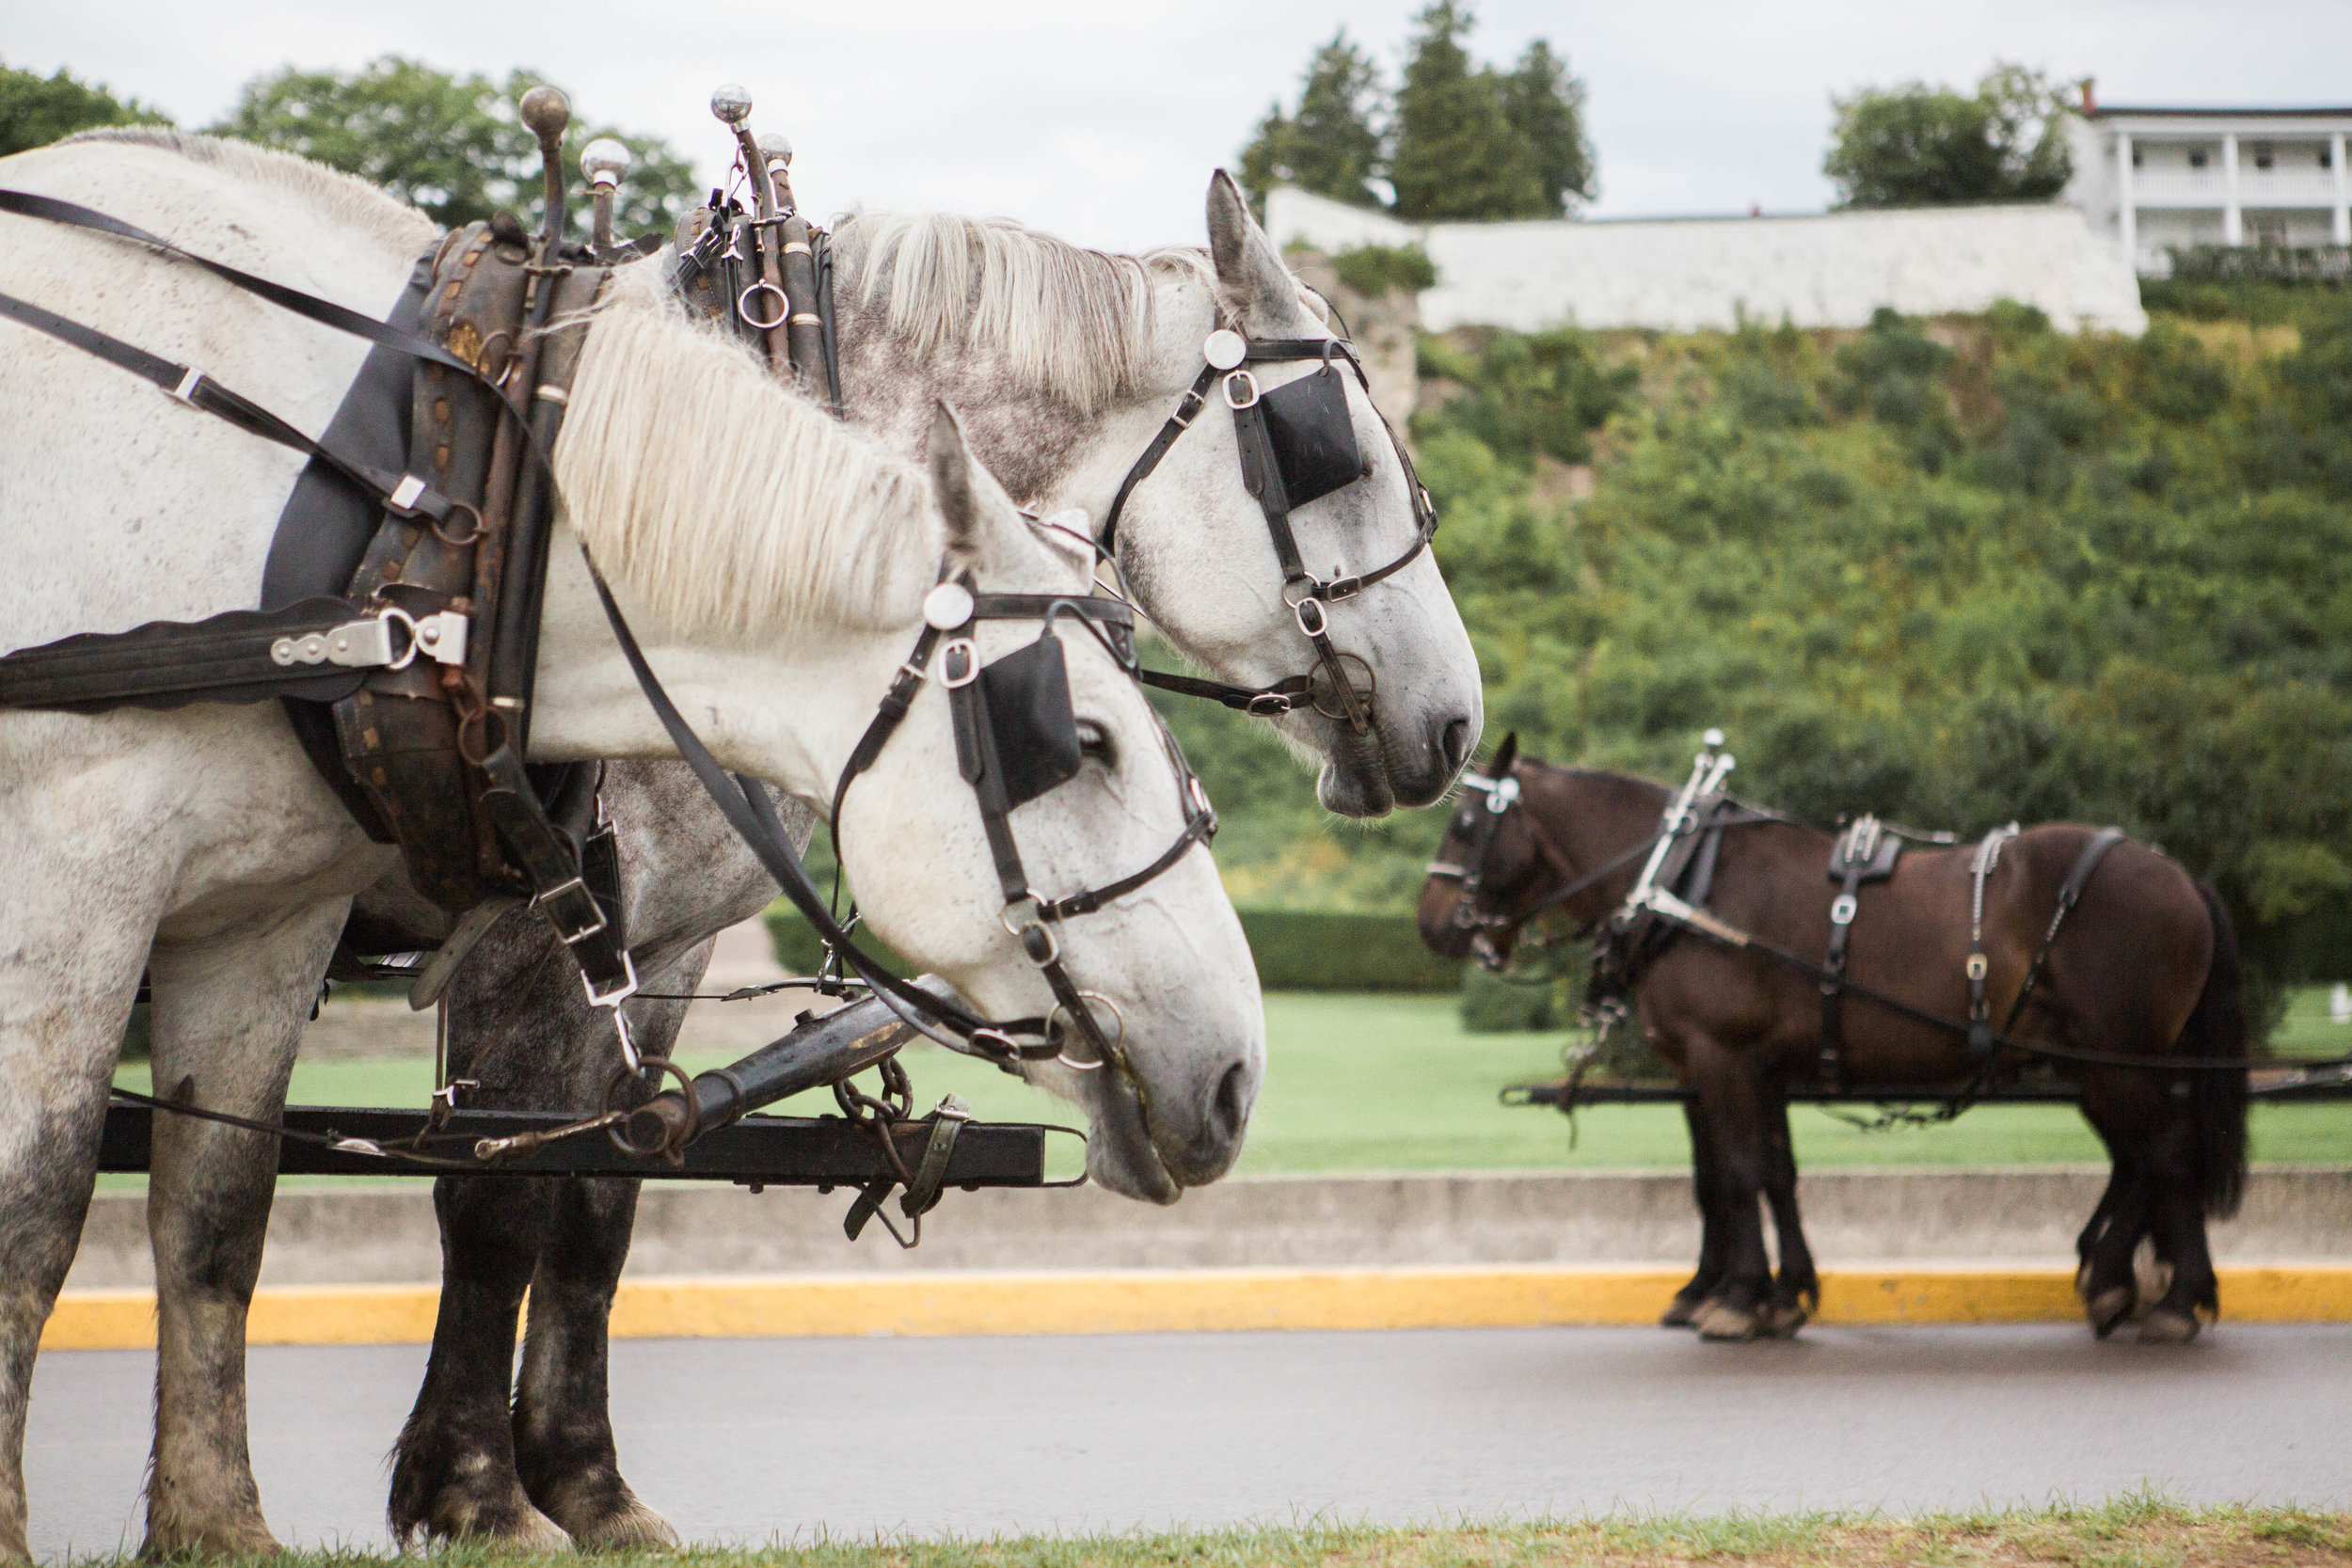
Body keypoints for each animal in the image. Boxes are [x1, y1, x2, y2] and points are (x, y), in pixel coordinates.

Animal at [1421, 742, 2249, 1344]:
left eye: (1465, 826)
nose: (1429, 923)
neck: (1681, 883)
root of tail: (2180, 874)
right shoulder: (1752, 1067)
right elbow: (1767, 1174)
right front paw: (1782, 1292)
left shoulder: (1721, 1058)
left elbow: (1737, 1174)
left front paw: (1737, 1297)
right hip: (2106, 1065)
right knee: (2144, 1157)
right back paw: (2128, 1281)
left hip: (2116, 1059)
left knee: (2165, 1151)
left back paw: (2166, 1296)